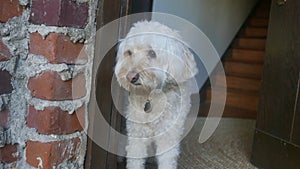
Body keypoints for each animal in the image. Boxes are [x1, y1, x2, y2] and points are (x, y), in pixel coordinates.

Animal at [114, 20, 197, 169]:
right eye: (129, 52)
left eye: (152, 53)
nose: (131, 77)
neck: (151, 96)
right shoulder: (137, 135)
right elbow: (134, 159)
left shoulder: (168, 137)